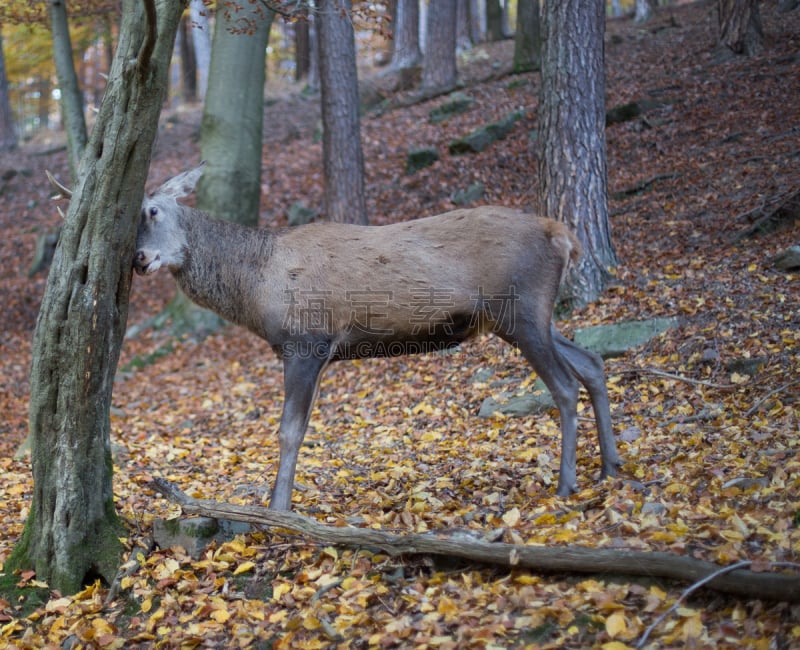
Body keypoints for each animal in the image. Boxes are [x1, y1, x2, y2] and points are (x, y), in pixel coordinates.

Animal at [130, 165, 620, 508]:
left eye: (152, 211)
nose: (138, 259)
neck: (256, 287)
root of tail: (562, 235)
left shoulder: (306, 341)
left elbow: (289, 432)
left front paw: (277, 508)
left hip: (519, 310)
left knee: (564, 385)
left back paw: (566, 483)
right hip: (532, 316)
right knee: (592, 363)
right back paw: (610, 467)